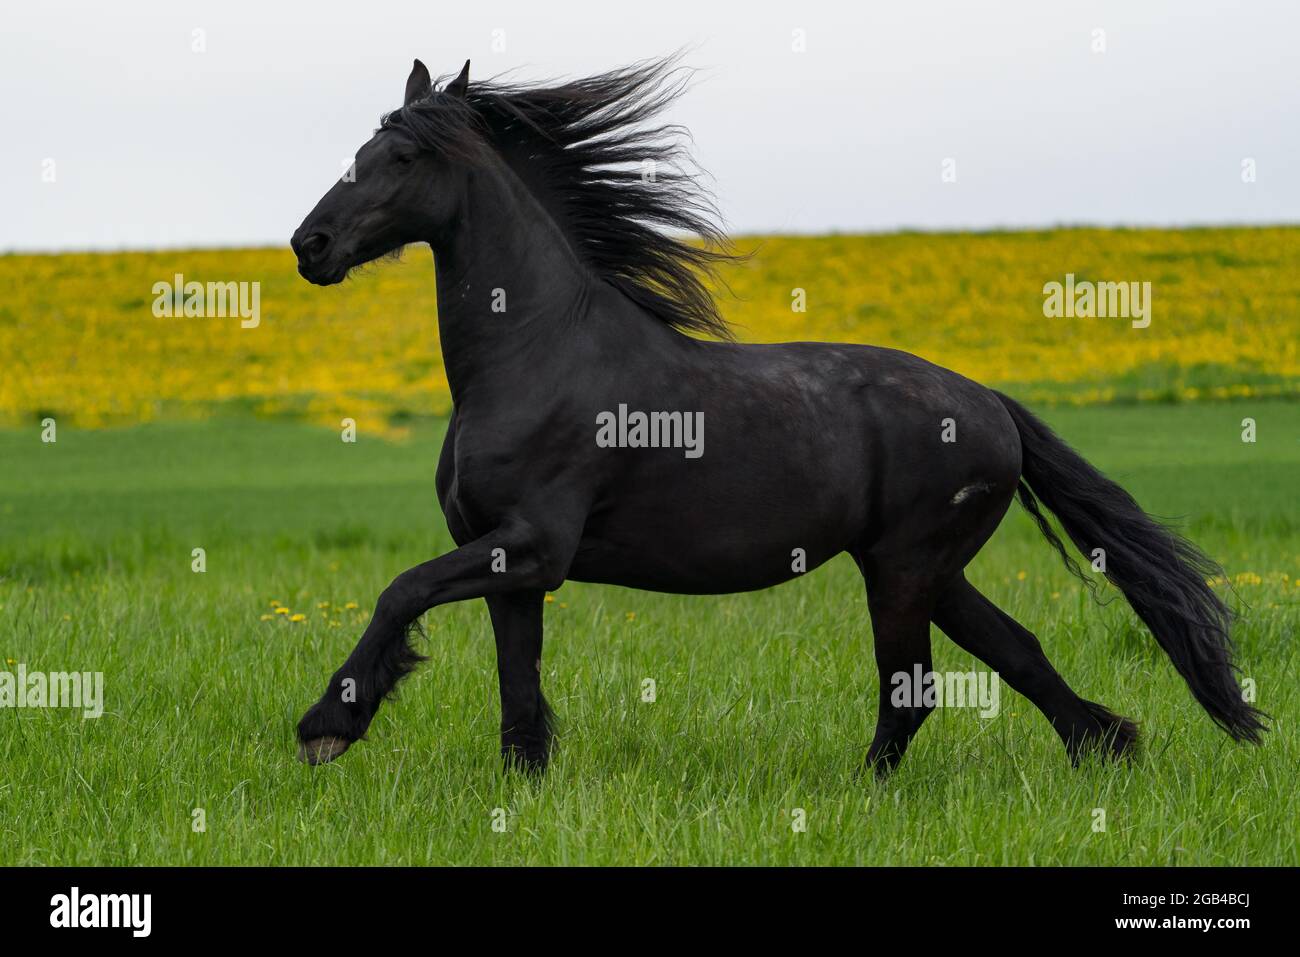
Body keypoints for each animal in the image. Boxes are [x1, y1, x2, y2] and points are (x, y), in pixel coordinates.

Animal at [290, 56, 1265, 776]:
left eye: (404, 158)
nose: (310, 245)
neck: (536, 356)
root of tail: (994, 406)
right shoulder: (513, 566)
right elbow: (517, 690)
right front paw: (522, 786)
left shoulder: (532, 543)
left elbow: (402, 589)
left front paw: (327, 724)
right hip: (927, 567)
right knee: (1015, 650)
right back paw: (1107, 750)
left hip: (904, 567)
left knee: (913, 684)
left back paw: (866, 790)